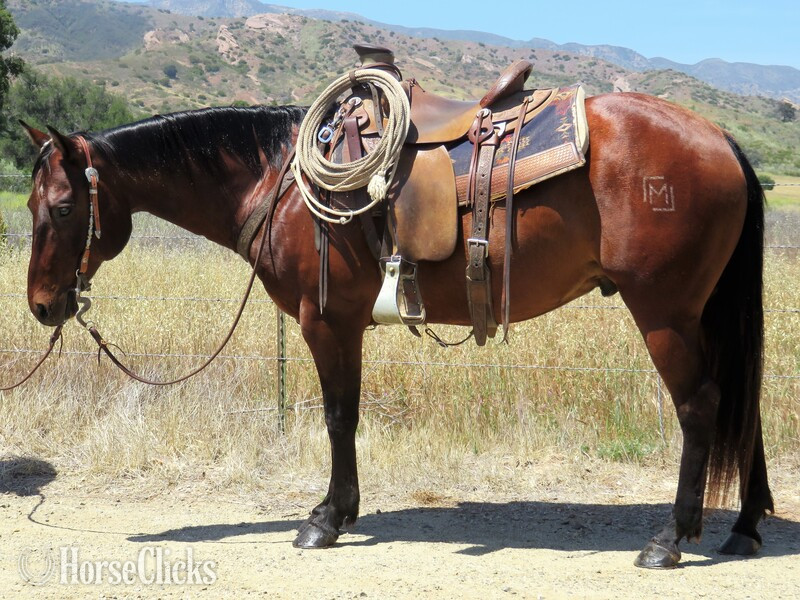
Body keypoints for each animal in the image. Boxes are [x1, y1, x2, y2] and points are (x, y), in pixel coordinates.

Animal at [20, 90, 771, 569]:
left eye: (63, 208)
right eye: (32, 205)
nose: (41, 306)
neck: (277, 181)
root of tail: (721, 139)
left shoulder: (325, 321)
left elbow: (337, 417)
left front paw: (326, 519)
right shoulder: (341, 326)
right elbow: (345, 415)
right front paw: (341, 511)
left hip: (665, 314)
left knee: (701, 406)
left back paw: (669, 538)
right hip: (703, 313)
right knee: (743, 402)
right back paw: (745, 526)